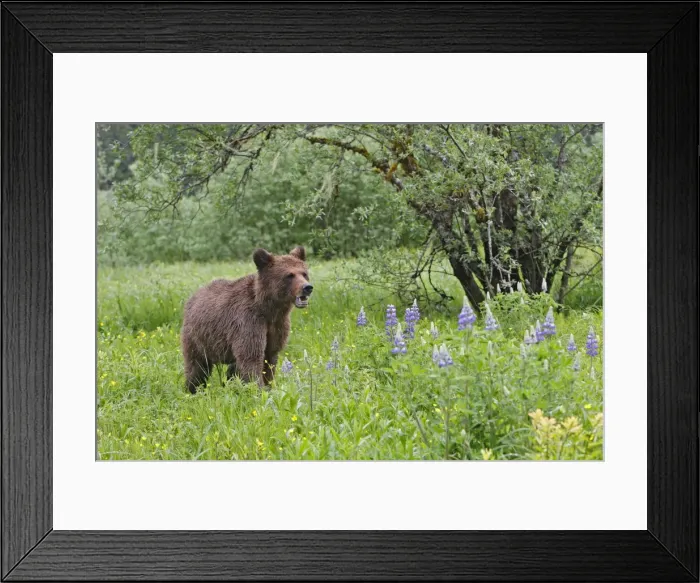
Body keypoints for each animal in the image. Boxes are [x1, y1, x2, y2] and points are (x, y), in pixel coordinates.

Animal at [180, 246, 312, 393]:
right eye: (289, 275)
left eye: (304, 273)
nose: (307, 287)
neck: (269, 309)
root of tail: (194, 296)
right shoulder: (248, 322)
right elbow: (252, 358)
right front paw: (258, 390)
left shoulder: (277, 325)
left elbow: (270, 358)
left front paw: (269, 387)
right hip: (198, 337)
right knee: (197, 366)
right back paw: (193, 389)